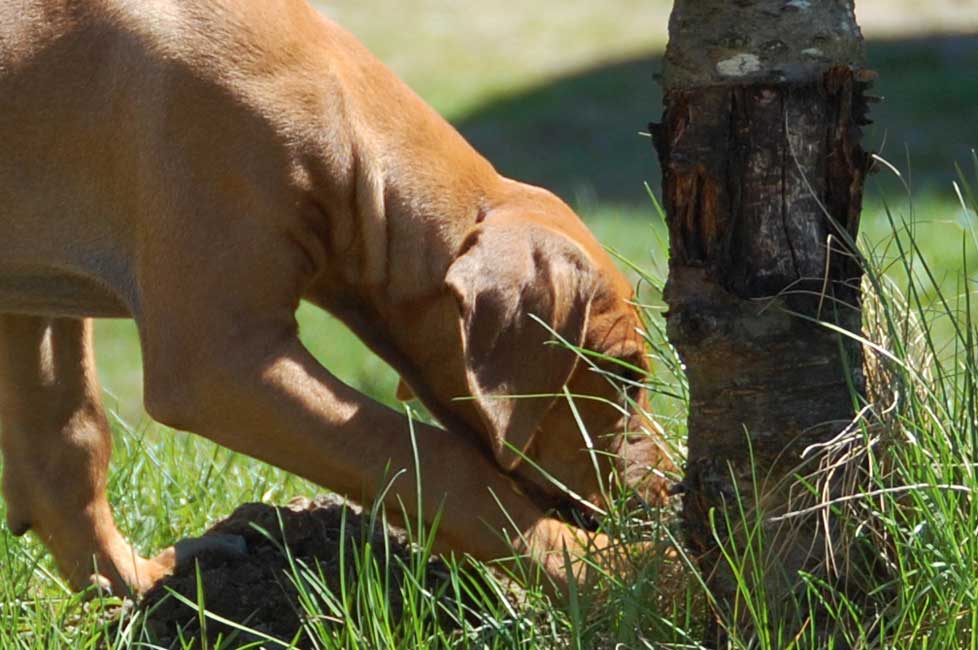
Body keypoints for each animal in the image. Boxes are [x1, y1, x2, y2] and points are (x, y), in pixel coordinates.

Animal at [0, 0, 673, 596]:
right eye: (622, 372)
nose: (670, 495)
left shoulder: (37, 291)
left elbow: (68, 439)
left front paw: (129, 587)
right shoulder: (222, 361)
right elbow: (437, 462)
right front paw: (623, 575)